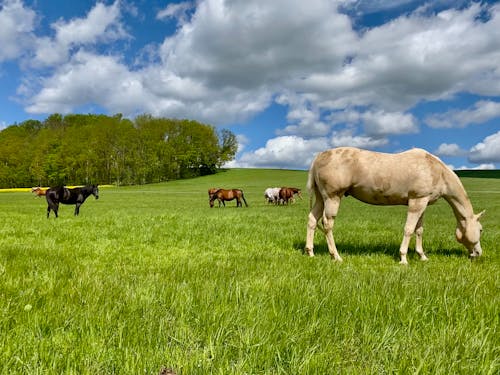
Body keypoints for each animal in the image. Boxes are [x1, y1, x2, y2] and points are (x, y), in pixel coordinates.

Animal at [304, 148, 484, 266]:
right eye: (481, 230)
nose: (478, 253)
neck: (437, 171)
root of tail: (319, 156)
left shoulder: (423, 203)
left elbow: (419, 230)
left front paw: (422, 256)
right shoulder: (416, 202)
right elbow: (409, 229)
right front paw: (403, 258)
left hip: (321, 198)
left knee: (312, 220)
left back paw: (310, 252)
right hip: (332, 197)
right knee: (327, 224)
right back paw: (336, 256)